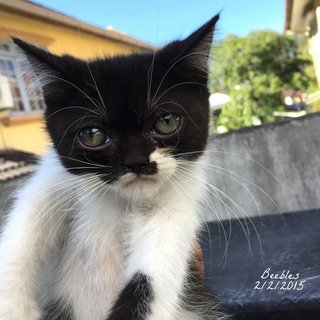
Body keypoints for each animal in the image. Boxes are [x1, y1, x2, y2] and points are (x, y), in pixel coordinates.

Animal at [0, 15, 225, 320]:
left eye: (167, 121)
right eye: (92, 135)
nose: (137, 162)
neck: (120, 202)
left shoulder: (176, 205)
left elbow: (155, 272)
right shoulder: (52, 180)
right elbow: (24, 232)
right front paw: (13, 307)